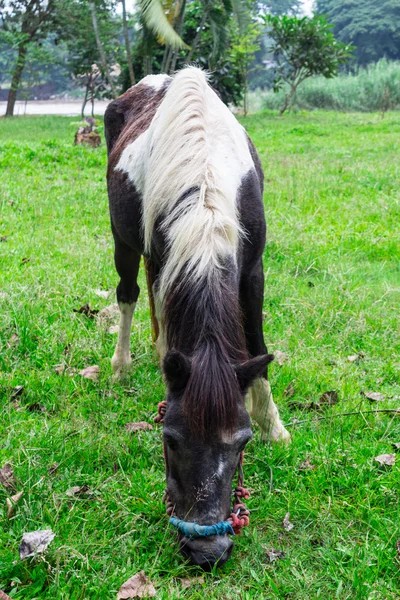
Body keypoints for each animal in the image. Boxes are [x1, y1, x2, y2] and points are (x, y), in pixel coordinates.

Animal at [104, 68, 290, 568]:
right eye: (169, 438)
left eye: (242, 442)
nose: (209, 550)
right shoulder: (161, 251)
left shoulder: (252, 268)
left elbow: (258, 345)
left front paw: (273, 424)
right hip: (125, 241)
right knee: (130, 295)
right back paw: (123, 364)